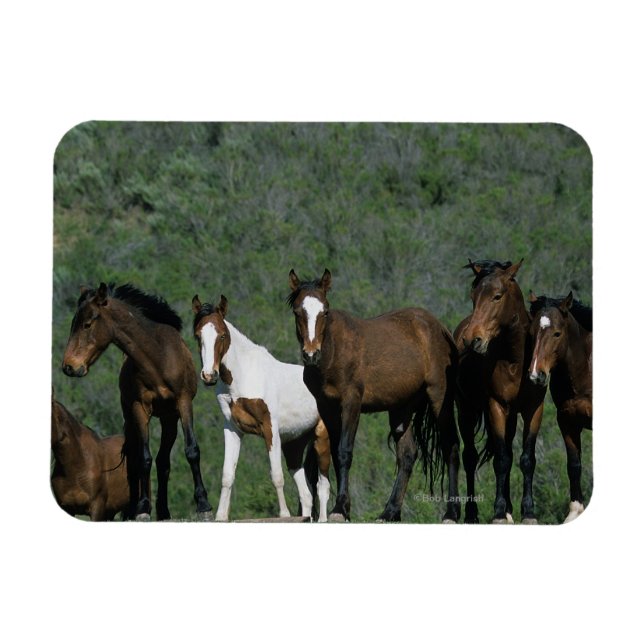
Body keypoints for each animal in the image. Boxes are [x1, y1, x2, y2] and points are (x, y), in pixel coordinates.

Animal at [62, 283, 212, 521]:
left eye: (87, 324)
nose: (68, 366)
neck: (158, 358)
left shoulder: (184, 402)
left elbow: (192, 451)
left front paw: (203, 505)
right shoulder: (139, 409)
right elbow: (143, 458)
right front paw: (142, 508)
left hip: (169, 419)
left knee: (163, 462)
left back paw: (164, 512)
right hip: (132, 419)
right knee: (137, 460)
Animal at [192, 294, 331, 522]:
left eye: (222, 335)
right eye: (198, 336)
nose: (209, 375)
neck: (244, 376)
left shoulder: (269, 429)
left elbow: (276, 475)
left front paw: (283, 514)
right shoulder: (232, 429)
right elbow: (227, 474)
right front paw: (221, 516)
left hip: (322, 438)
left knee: (323, 487)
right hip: (294, 444)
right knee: (306, 495)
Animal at [287, 268, 460, 523]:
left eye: (325, 311)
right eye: (298, 311)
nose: (311, 354)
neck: (333, 352)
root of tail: (439, 328)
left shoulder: (352, 403)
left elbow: (344, 452)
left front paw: (339, 509)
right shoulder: (327, 408)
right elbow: (336, 453)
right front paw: (344, 508)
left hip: (439, 397)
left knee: (451, 447)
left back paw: (452, 512)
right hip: (401, 408)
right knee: (407, 455)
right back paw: (390, 512)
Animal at [454, 259, 546, 524]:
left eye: (497, 296)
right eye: (473, 296)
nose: (471, 340)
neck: (515, 361)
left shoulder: (534, 410)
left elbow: (526, 459)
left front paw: (528, 512)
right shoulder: (495, 407)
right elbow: (501, 461)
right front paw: (497, 512)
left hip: (511, 417)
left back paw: (510, 510)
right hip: (466, 411)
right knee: (470, 457)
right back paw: (472, 513)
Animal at [528, 291, 592, 523]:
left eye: (557, 333)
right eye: (531, 332)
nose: (536, 375)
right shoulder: (567, 420)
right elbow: (574, 465)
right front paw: (574, 513)